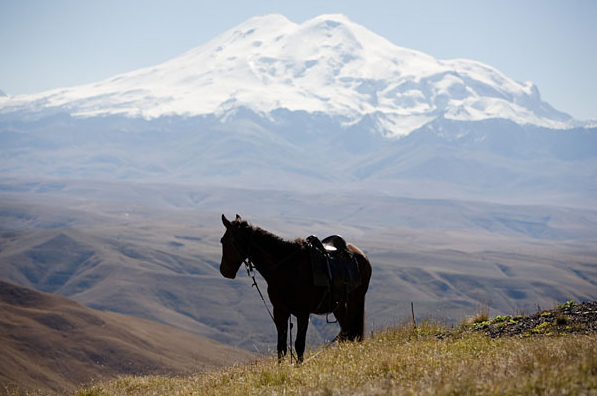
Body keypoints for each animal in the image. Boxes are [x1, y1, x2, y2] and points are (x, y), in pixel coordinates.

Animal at [218, 215, 368, 364]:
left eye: (223, 240)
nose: (224, 270)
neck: (286, 268)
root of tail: (361, 255)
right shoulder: (280, 312)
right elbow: (282, 346)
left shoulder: (303, 314)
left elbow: (299, 345)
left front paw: (299, 366)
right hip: (340, 307)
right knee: (346, 333)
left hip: (353, 304)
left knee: (348, 333)